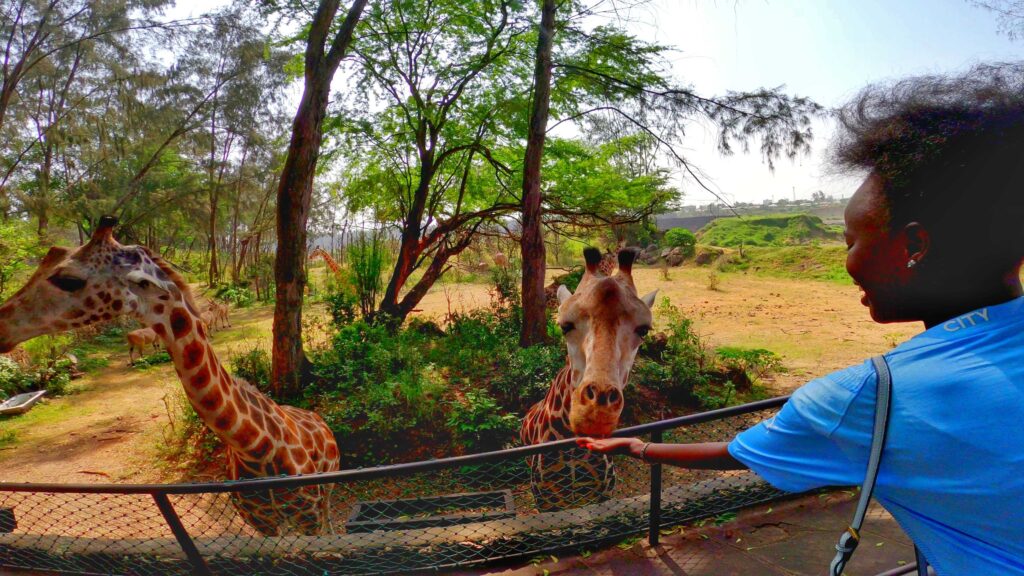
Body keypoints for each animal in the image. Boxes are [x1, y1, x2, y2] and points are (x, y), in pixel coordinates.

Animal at [0, 216, 344, 532]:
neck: (257, 448)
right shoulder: (261, 523)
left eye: (69, 279)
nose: (3, 325)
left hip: (326, 493)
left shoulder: (308, 515)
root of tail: (319, 418)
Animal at [520, 243, 655, 508]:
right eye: (564, 326)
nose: (595, 415)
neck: (574, 453)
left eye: (643, 330)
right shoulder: (545, 502)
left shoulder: (600, 497)